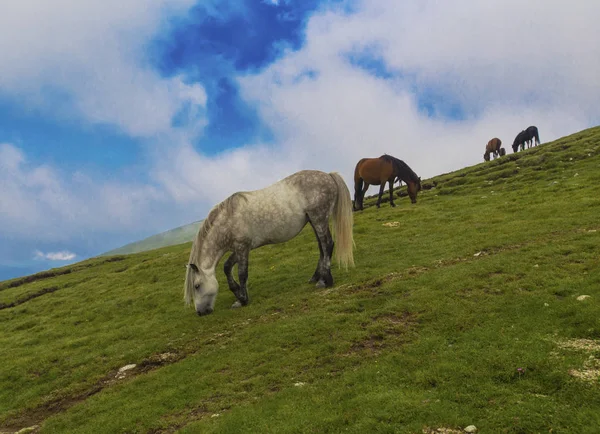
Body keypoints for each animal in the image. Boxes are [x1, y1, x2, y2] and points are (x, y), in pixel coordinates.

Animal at [183, 171, 352, 318]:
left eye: (197, 286)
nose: (200, 312)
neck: (229, 219)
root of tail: (328, 175)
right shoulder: (241, 249)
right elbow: (227, 267)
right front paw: (238, 294)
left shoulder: (242, 248)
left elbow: (242, 273)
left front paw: (243, 299)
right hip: (313, 220)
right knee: (321, 248)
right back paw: (316, 277)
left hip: (319, 218)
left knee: (327, 244)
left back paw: (325, 281)